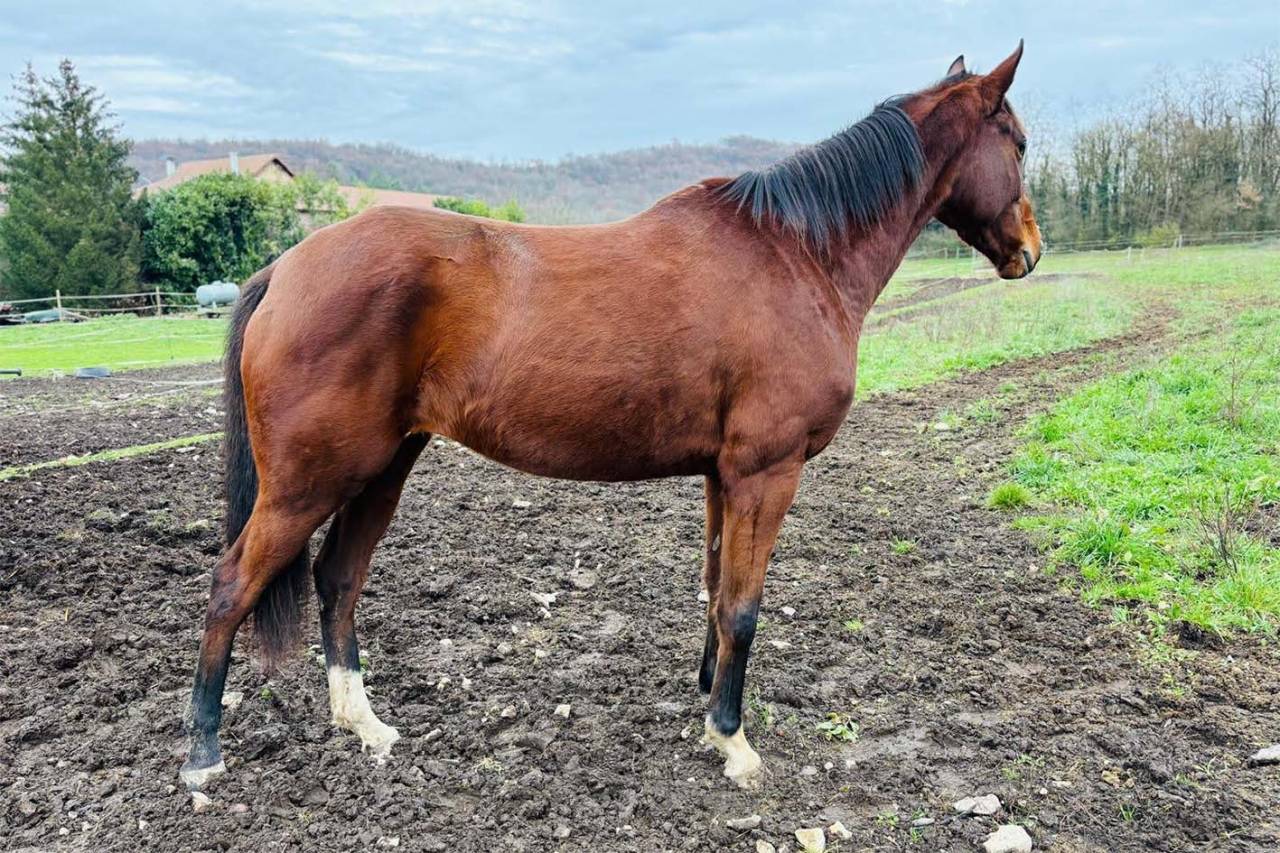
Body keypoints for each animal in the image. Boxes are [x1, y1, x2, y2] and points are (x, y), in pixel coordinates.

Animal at [181, 43, 1040, 792]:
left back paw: (364, 724)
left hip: (383, 467)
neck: (796, 254)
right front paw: (734, 741)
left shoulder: (723, 475)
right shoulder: (766, 471)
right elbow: (744, 606)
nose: (1028, 249)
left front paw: (707, 705)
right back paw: (203, 755)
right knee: (231, 585)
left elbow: (715, 589)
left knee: (337, 579)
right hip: (308, 481)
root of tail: (285, 267)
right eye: (1021, 142)